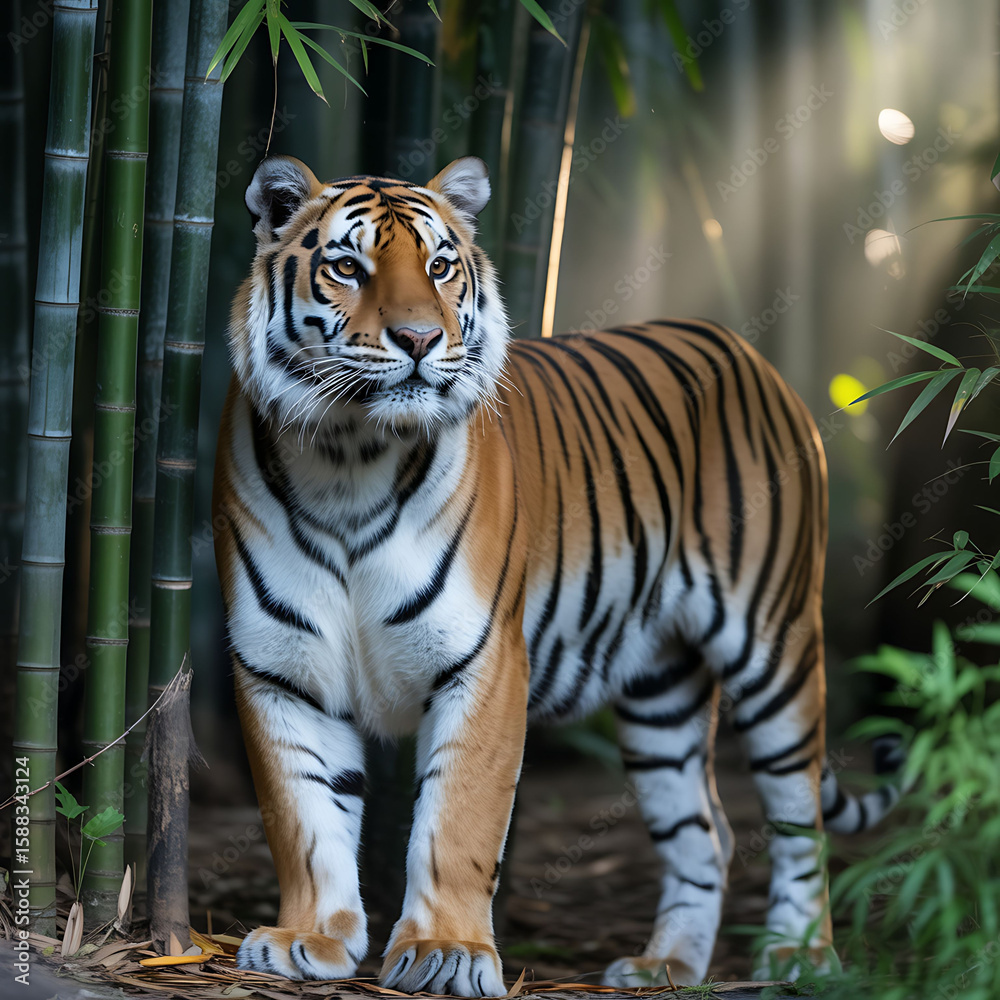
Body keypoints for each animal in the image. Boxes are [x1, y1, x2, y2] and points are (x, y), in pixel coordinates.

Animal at [212, 154, 902, 995]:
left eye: (440, 267)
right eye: (348, 267)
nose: (420, 338)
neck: (350, 458)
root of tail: (749, 352)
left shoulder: (483, 662)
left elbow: (458, 821)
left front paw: (445, 952)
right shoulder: (278, 669)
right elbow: (303, 818)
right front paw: (309, 938)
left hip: (774, 644)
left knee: (800, 814)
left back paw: (800, 952)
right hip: (660, 691)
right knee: (705, 833)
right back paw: (666, 964)